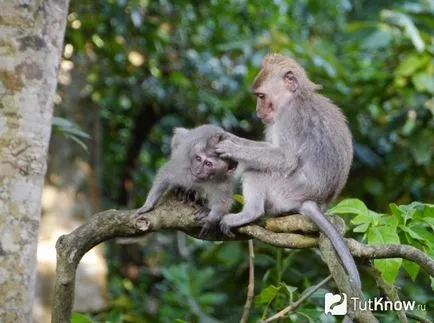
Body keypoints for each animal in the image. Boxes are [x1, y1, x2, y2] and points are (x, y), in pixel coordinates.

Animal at [215, 54, 362, 290]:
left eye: (261, 96)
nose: (258, 111)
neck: (296, 97)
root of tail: (314, 202)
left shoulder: (289, 117)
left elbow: (286, 158)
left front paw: (231, 148)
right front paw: (230, 138)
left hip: (286, 191)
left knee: (255, 172)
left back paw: (251, 212)